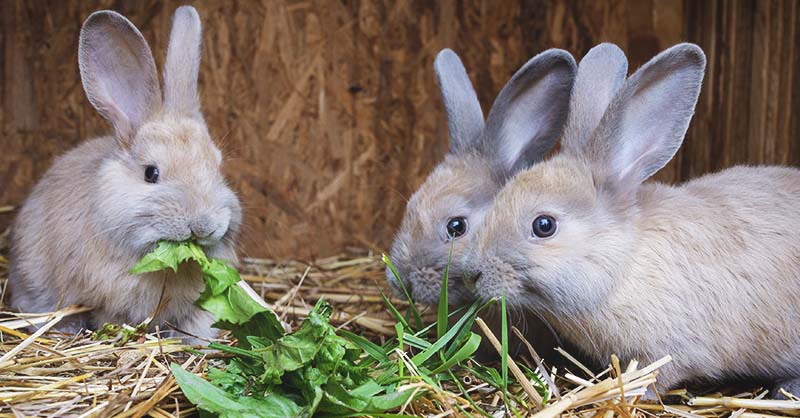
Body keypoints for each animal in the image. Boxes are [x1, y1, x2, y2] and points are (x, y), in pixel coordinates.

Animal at [462, 42, 800, 396]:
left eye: (544, 226)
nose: (471, 273)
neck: (622, 263)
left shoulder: (670, 351)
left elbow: (655, 375)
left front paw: (635, 392)